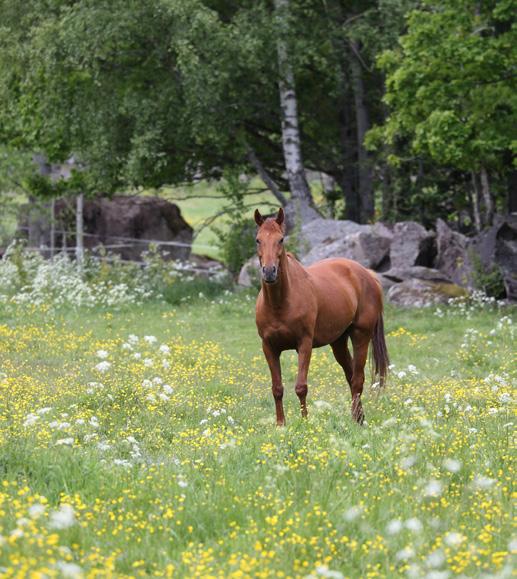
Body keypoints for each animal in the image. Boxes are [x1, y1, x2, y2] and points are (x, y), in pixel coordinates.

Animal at [254, 208, 388, 426]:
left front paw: (305, 422)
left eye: (281, 239)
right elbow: (277, 388)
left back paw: (356, 420)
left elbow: (301, 387)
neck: (280, 303)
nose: (269, 272)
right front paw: (281, 424)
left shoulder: (304, 344)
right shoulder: (269, 347)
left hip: (361, 335)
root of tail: (367, 273)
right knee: (350, 375)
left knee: (357, 379)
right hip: (338, 342)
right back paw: (358, 418)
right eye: (258, 240)